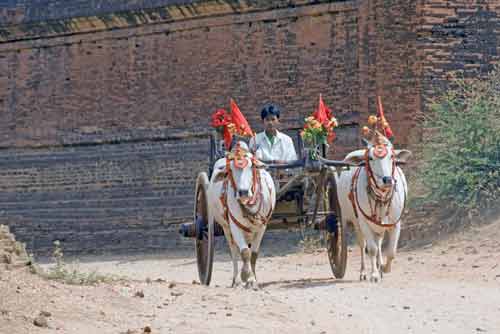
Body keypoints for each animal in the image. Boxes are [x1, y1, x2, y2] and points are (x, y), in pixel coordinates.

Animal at [207, 142, 278, 288]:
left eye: (252, 166)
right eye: (230, 170)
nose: (243, 192)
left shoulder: (262, 227)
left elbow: (254, 254)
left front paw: (253, 279)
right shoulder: (234, 226)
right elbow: (245, 252)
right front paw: (246, 276)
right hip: (226, 228)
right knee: (234, 251)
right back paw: (236, 280)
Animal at [336, 136, 410, 282]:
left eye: (392, 156)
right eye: (370, 158)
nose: (387, 180)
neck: (381, 198)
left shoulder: (396, 223)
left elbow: (391, 252)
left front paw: (384, 268)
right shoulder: (364, 222)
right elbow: (371, 249)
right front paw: (374, 274)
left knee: (379, 242)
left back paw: (379, 264)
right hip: (354, 221)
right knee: (363, 245)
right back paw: (364, 272)